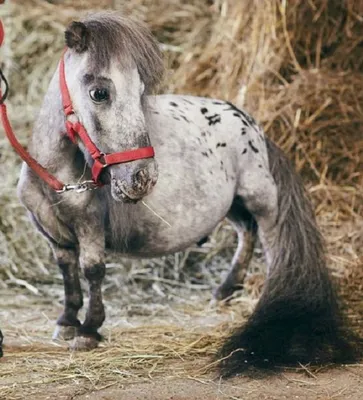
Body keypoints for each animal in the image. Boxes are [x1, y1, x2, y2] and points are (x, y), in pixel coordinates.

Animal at [16, 12, 362, 376]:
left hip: (260, 197)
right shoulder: (53, 234)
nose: (143, 178)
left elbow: (92, 270)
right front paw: (67, 321)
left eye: (140, 91)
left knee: (269, 239)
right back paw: (226, 289)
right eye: (99, 92)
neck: (55, 176)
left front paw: (88, 330)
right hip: (232, 205)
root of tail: (253, 125)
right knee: (247, 232)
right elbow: (67, 271)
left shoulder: (91, 227)